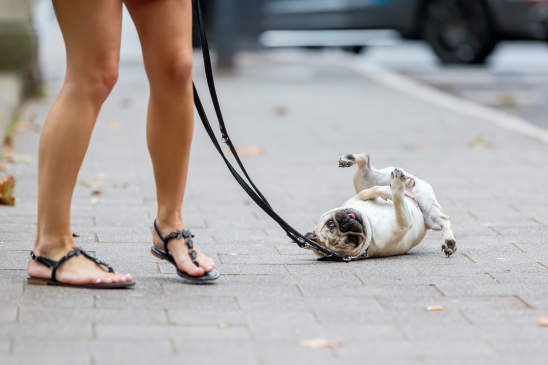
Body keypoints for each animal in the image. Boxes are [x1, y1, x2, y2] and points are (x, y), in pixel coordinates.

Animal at [306, 154, 456, 258]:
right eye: (351, 239)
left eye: (330, 223)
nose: (345, 224)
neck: (369, 222)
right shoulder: (403, 223)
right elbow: (398, 202)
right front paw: (396, 189)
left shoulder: (358, 196)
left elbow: (370, 192)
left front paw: (388, 191)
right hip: (431, 217)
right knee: (443, 219)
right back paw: (449, 241)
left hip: (365, 179)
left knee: (365, 160)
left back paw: (349, 158)